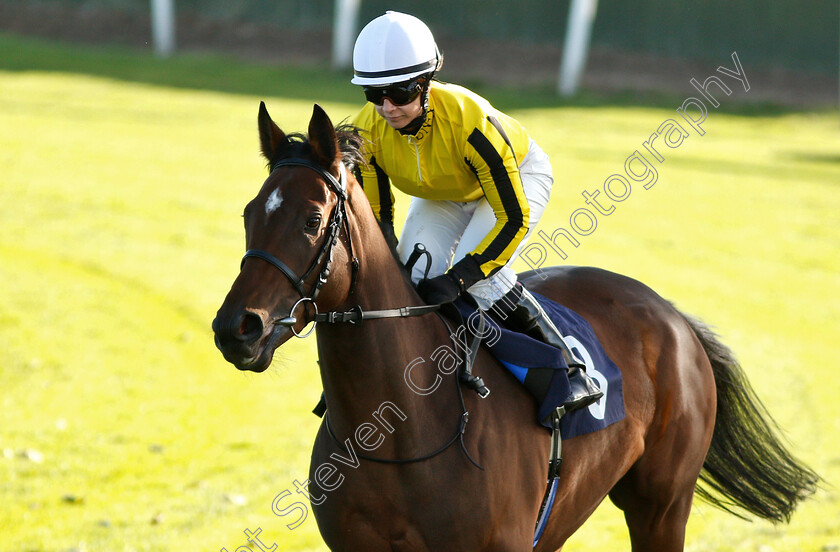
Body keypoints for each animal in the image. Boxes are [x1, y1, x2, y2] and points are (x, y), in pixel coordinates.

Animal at [213, 102, 816, 548]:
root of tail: (673, 315)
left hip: (661, 506)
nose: (236, 328)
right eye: (248, 213)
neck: (404, 430)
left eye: (313, 218)